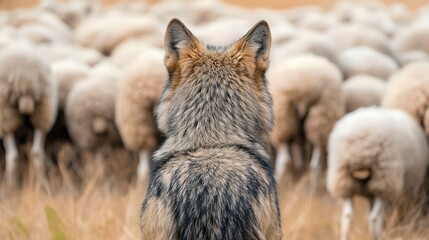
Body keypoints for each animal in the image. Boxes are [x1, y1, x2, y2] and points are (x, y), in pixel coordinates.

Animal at [0, 42, 57, 188]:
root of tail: (25, 78)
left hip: (5, 115)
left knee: (13, 155)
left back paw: (10, 186)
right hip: (43, 112)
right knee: (36, 152)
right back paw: (42, 184)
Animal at [270, 54, 342, 188]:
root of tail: (306, 86)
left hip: (283, 116)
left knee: (284, 160)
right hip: (321, 114)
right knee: (314, 163)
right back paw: (311, 188)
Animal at [324, 108, 428, 240]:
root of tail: (361, 146)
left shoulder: (369, 193)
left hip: (343, 180)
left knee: (348, 215)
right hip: (384, 179)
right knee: (374, 216)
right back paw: (377, 236)